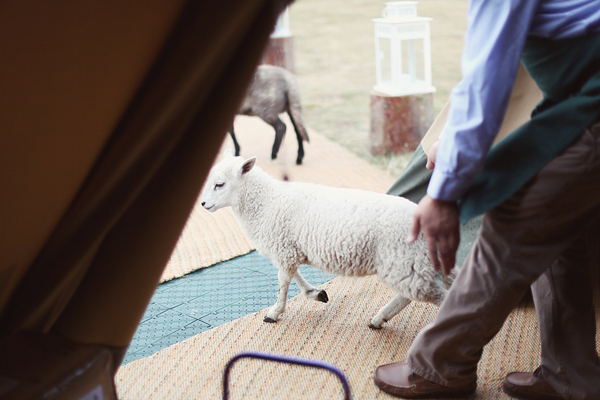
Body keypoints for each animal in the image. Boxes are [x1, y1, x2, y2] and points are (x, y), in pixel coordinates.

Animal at [199, 150, 452, 328]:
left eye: (219, 184)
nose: (202, 204)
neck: (267, 202)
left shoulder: (283, 249)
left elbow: (282, 283)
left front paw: (274, 313)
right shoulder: (289, 249)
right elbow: (294, 277)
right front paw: (316, 294)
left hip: (402, 261)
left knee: (438, 295)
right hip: (411, 262)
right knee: (417, 293)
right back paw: (379, 319)